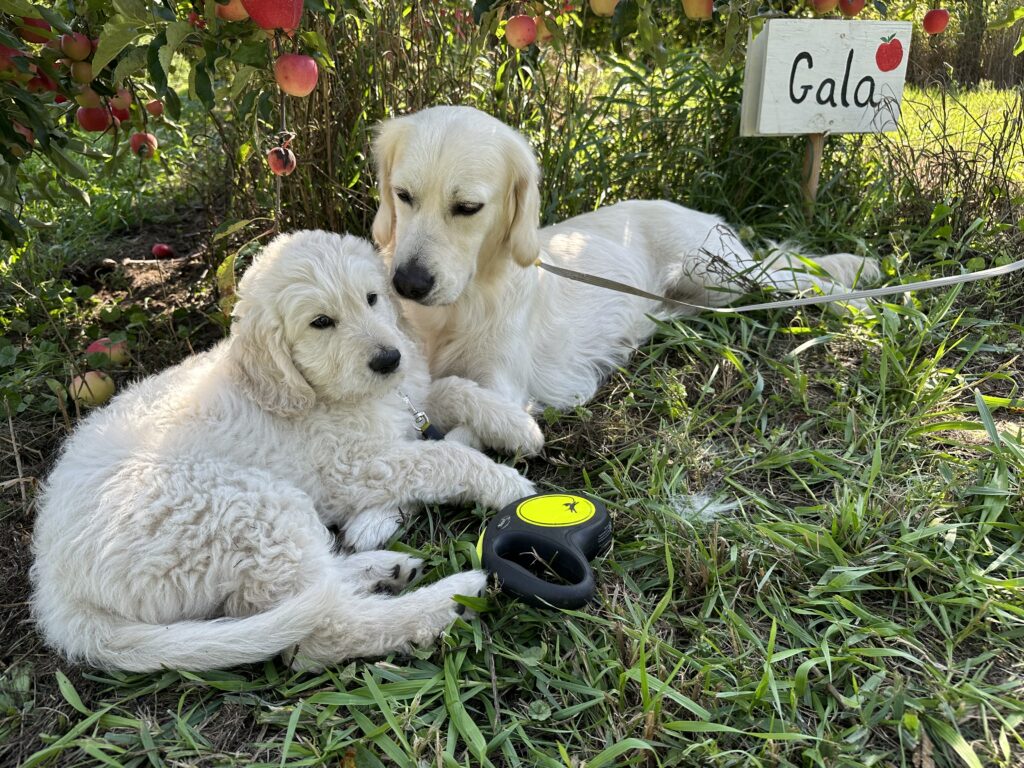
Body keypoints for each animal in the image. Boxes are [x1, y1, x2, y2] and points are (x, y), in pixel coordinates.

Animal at [31, 230, 536, 672]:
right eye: (321, 323)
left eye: (372, 298)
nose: (389, 359)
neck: (314, 391)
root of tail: (56, 589)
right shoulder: (353, 466)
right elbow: (442, 458)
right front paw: (506, 483)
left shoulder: (408, 399)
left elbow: (451, 389)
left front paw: (517, 425)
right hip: (246, 509)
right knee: (322, 629)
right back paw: (448, 599)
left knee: (311, 590)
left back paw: (382, 569)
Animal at [371, 106, 880, 454]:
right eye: (403, 195)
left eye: (468, 208)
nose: (409, 283)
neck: (462, 304)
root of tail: (700, 213)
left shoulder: (505, 385)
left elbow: (460, 437)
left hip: (719, 273)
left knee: (784, 267)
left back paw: (852, 291)